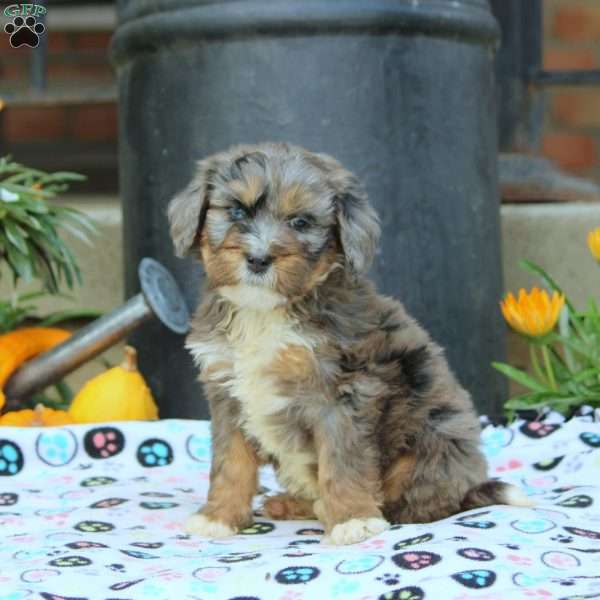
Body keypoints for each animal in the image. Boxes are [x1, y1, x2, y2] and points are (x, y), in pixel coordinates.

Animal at [166, 143, 532, 548]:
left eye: (300, 222)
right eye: (235, 211)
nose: (259, 259)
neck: (264, 312)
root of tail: (468, 487)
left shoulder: (343, 392)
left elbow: (342, 461)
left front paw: (353, 520)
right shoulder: (227, 393)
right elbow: (230, 462)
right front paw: (219, 517)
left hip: (428, 443)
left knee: (417, 503)